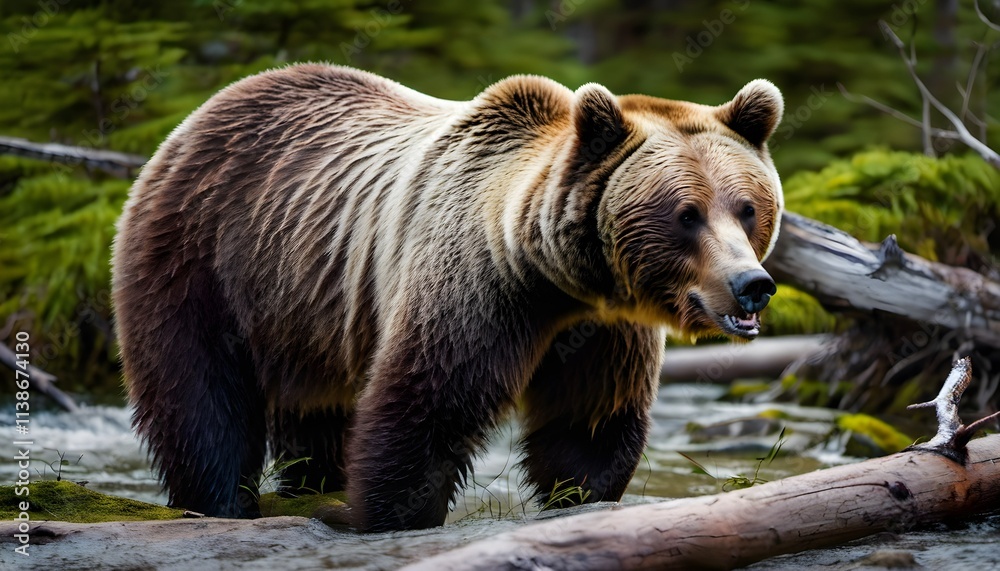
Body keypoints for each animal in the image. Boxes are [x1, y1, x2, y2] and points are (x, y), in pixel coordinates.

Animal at [111, 64, 783, 531]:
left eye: (747, 207)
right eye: (686, 214)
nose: (751, 284)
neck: (554, 278)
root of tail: (201, 115)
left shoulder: (605, 327)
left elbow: (589, 420)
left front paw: (578, 496)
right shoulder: (477, 286)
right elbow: (427, 403)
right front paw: (384, 514)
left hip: (309, 309)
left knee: (314, 412)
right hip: (201, 256)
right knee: (200, 394)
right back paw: (220, 501)